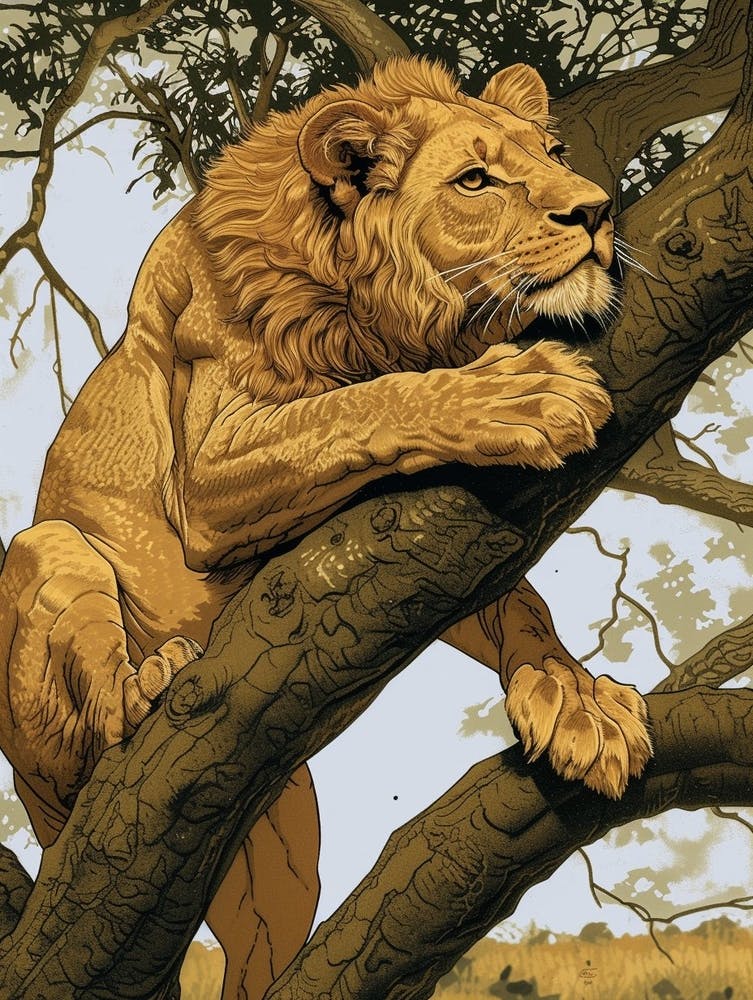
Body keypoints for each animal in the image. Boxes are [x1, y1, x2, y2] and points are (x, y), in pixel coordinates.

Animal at [0, 57, 651, 999]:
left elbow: (519, 606)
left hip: (281, 856)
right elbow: (360, 404)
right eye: (475, 180)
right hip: (46, 563)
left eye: (554, 154)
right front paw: (520, 393)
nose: (597, 211)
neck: (382, 309)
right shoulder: (208, 472)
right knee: (91, 726)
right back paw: (149, 681)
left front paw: (576, 702)